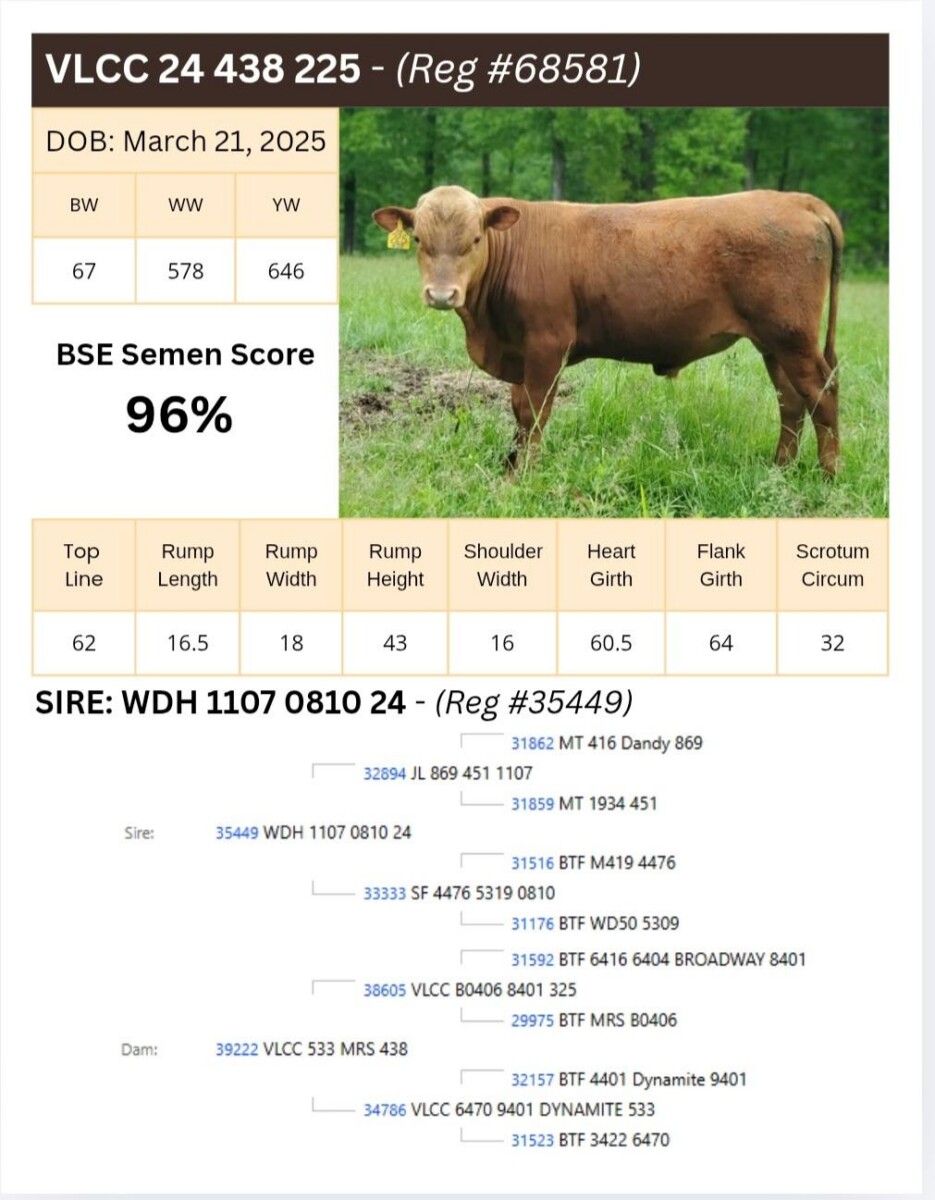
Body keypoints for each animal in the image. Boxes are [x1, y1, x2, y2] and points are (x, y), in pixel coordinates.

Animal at [373, 185, 843, 476]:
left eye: (473, 239)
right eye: (419, 240)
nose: (441, 294)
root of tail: (798, 201)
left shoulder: (546, 345)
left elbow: (534, 413)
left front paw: (523, 475)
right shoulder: (519, 353)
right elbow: (518, 411)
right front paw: (509, 466)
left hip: (792, 338)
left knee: (821, 394)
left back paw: (828, 476)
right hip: (774, 342)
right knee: (790, 401)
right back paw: (779, 469)